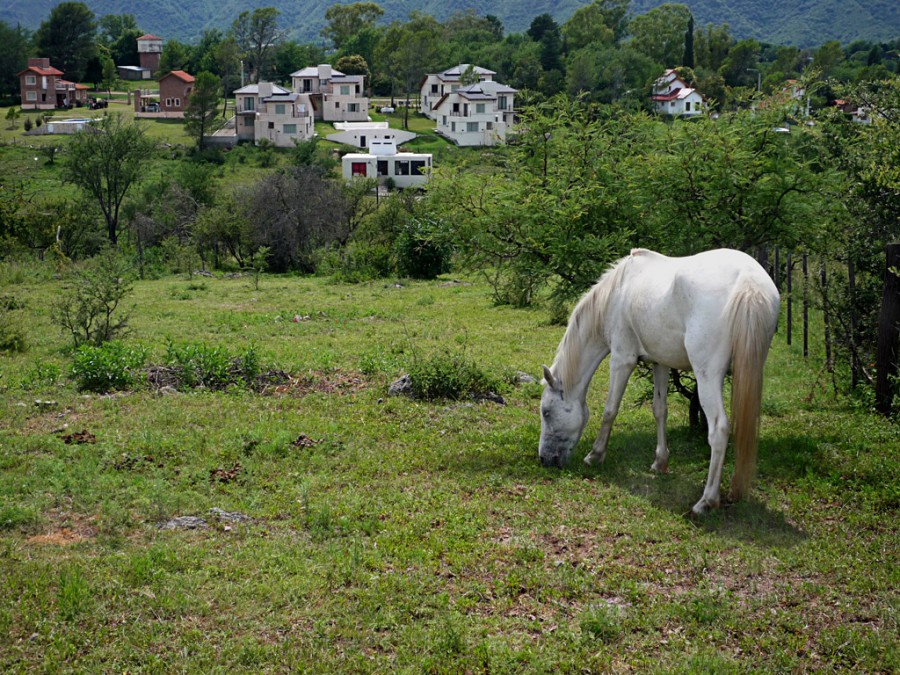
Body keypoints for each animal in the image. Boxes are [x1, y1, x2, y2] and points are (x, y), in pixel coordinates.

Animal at [540, 248, 780, 516]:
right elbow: (660, 410)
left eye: (546, 412)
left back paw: (706, 501)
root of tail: (748, 282)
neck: (617, 294)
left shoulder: (622, 359)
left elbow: (610, 410)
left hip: (707, 376)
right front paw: (660, 462)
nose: (544, 460)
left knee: (718, 430)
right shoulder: (660, 363)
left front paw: (595, 455)